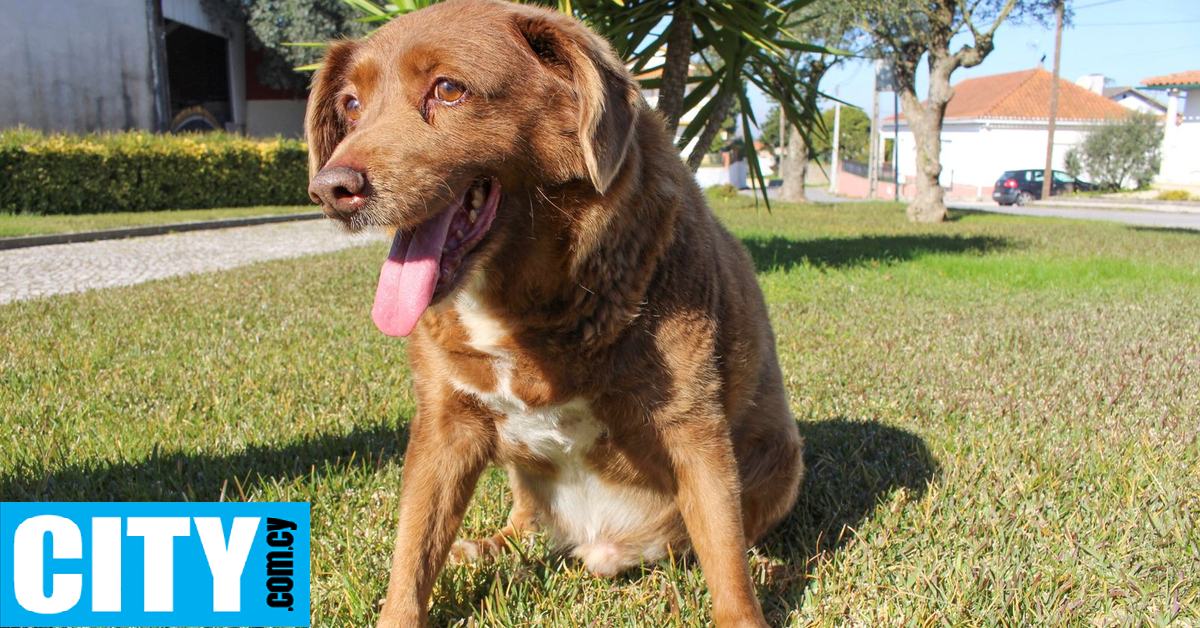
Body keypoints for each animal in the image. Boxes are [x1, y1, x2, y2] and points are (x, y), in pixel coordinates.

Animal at [304, 2, 801, 624]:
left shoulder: (693, 427)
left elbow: (727, 563)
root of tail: (602, 543)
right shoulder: (444, 426)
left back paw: (765, 564)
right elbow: (412, 554)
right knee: (523, 522)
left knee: (726, 539)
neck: (521, 306)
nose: (329, 189)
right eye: (351, 105)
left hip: (782, 459)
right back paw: (487, 546)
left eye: (448, 89)